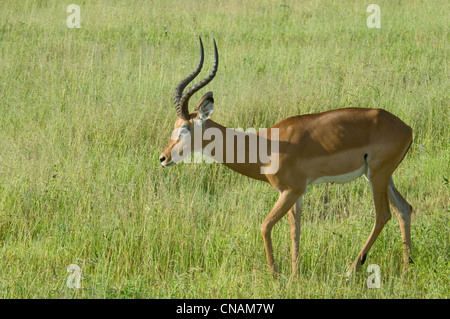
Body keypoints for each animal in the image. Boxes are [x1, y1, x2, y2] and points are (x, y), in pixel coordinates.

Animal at [159, 37, 414, 278]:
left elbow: (265, 226)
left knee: (383, 215)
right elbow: (295, 230)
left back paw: (352, 270)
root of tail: (406, 128)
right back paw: (405, 270)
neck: (265, 146)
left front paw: (276, 275)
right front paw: (294, 275)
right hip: (378, 176)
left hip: (377, 175)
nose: (163, 158)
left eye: (185, 129)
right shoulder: (296, 193)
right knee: (404, 209)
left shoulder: (291, 190)